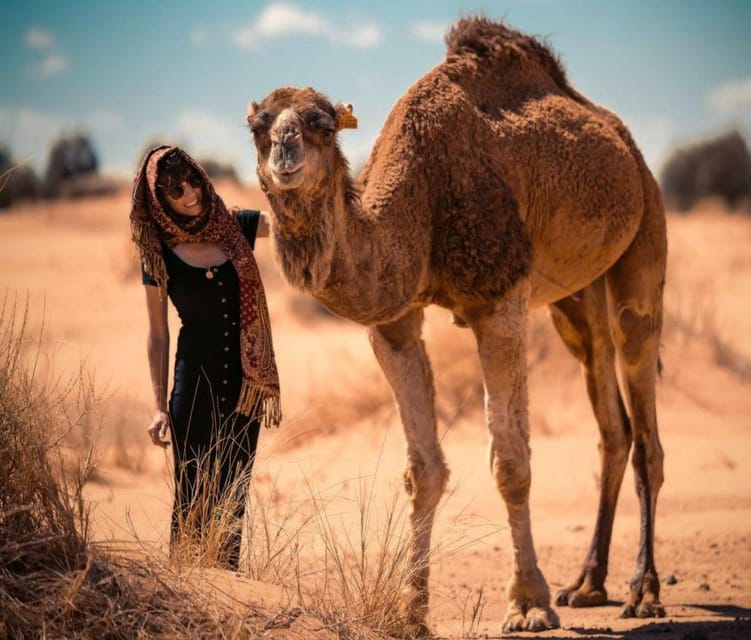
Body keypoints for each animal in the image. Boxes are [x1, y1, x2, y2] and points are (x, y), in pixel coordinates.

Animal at [245, 16, 664, 636]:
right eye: (258, 127)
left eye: (321, 124)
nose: (285, 154)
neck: (420, 198)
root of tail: (624, 142)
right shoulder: (394, 321)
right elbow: (424, 470)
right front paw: (411, 610)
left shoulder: (500, 300)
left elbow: (511, 462)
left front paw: (528, 604)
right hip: (575, 301)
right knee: (612, 420)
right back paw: (588, 584)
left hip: (645, 236)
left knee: (643, 408)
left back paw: (644, 591)